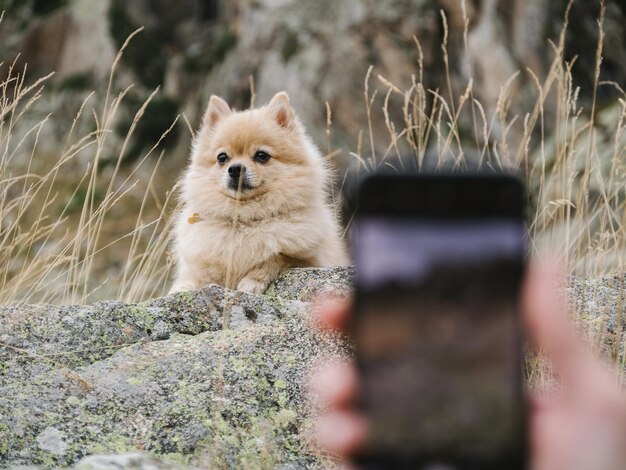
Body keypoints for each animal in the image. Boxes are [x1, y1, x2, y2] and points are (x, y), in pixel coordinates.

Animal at [168, 92, 348, 294]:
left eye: (262, 156)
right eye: (222, 158)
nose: (235, 168)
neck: (245, 220)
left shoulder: (310, 259)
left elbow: (276, 258)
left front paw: (251, 281)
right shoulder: (201, 264)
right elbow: (195, 278)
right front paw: (183, 288)